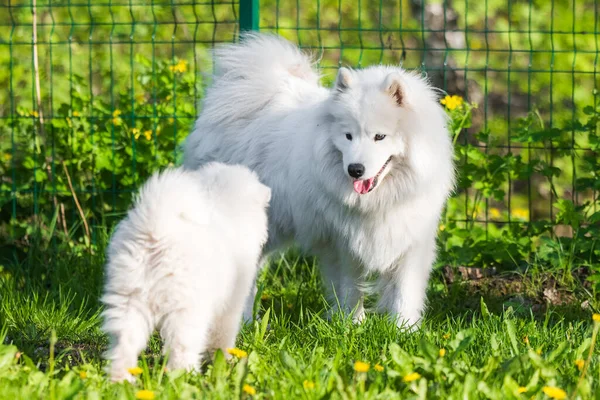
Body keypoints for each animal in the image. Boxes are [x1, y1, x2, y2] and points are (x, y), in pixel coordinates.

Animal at [102, 162, 270, 382]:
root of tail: (157, 229)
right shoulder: (231, 303)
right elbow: (222, 337)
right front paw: (224, 360)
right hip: (186, 309)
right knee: (181, 347)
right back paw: (185, 377)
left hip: (128, 299)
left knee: (123, 344)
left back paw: (121, 380)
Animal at [183, 33, 454, 328]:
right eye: (348, 136)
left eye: (379, 137)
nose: (355, 170)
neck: (379, 201)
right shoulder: (343, 242)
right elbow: (349, 288)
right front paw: (351, 325)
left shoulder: (411, 239)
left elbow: (405, 292)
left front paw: (404, 329)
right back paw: (243, 322)